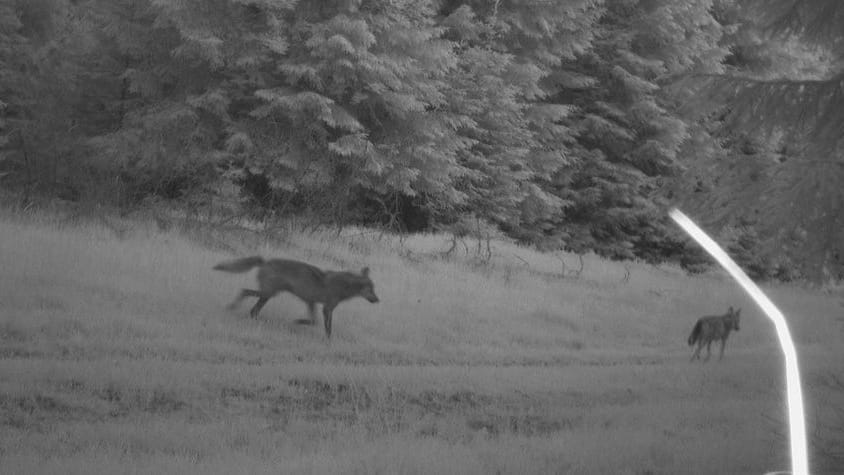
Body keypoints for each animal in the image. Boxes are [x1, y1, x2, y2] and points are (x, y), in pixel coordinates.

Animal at [214, 256, 380, 338]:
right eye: (371, 290)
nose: (378, 300)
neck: (344, 286)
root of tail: (265, 261)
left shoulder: (312, 303)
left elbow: (315, 322)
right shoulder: (326, 308)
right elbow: (324, 327)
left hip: (269, 295)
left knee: (253, 309)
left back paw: (255, 321)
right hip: (268, 293)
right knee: (244, 292)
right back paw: (232, 307)